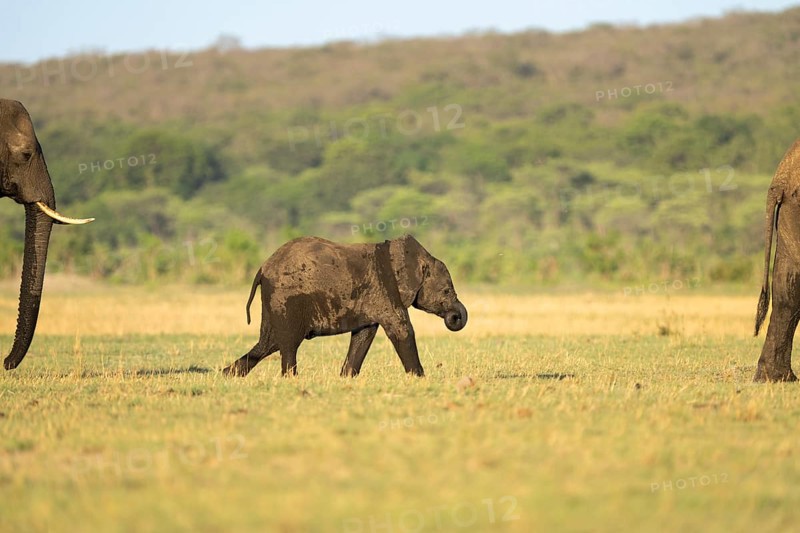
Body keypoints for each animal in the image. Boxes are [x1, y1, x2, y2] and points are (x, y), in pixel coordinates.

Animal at [223, 234, 467, 377]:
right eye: (446, 291)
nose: (454, 316)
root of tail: (262, 268)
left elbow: (364, 334)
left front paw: (346, 377)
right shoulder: (386, 289)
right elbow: (402, 330)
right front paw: (419, 378)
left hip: (275, 301)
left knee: (269, 342)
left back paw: (227, 374)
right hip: (286, 298)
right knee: (288, 342)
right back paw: (290, 379)